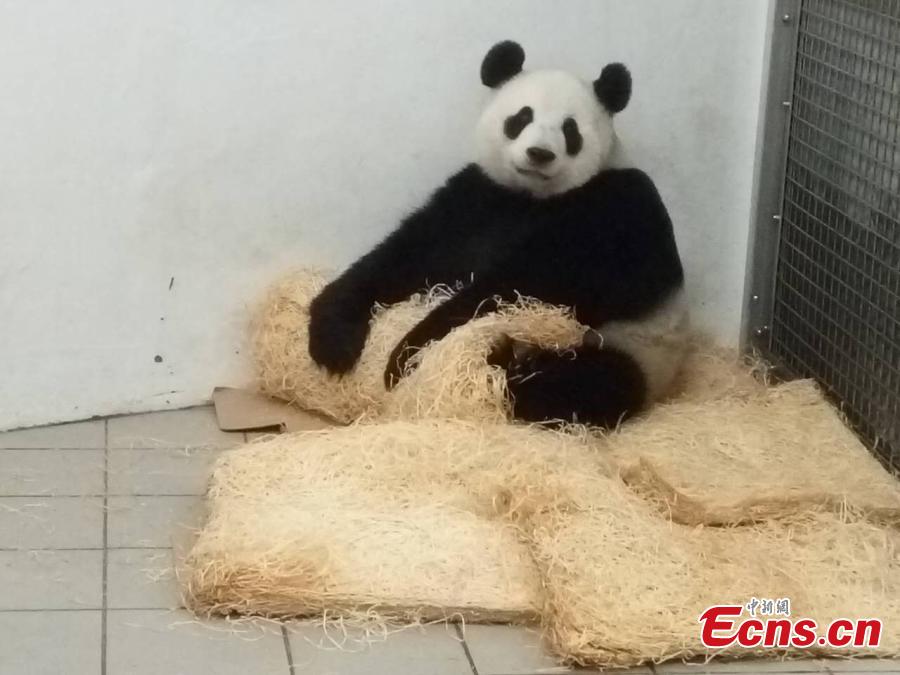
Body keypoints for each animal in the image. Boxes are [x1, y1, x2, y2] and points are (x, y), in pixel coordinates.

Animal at [308, 40, 689, 427]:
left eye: (570, 130)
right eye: (521, 118)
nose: (539, 153)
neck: (532, 197)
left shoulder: (622, 209)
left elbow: (542, 281)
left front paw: (410, 351)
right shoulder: (477, 196)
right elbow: (410, 253)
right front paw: (333, 338)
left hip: (634, 346)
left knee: (589, 385)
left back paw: (507, 363)